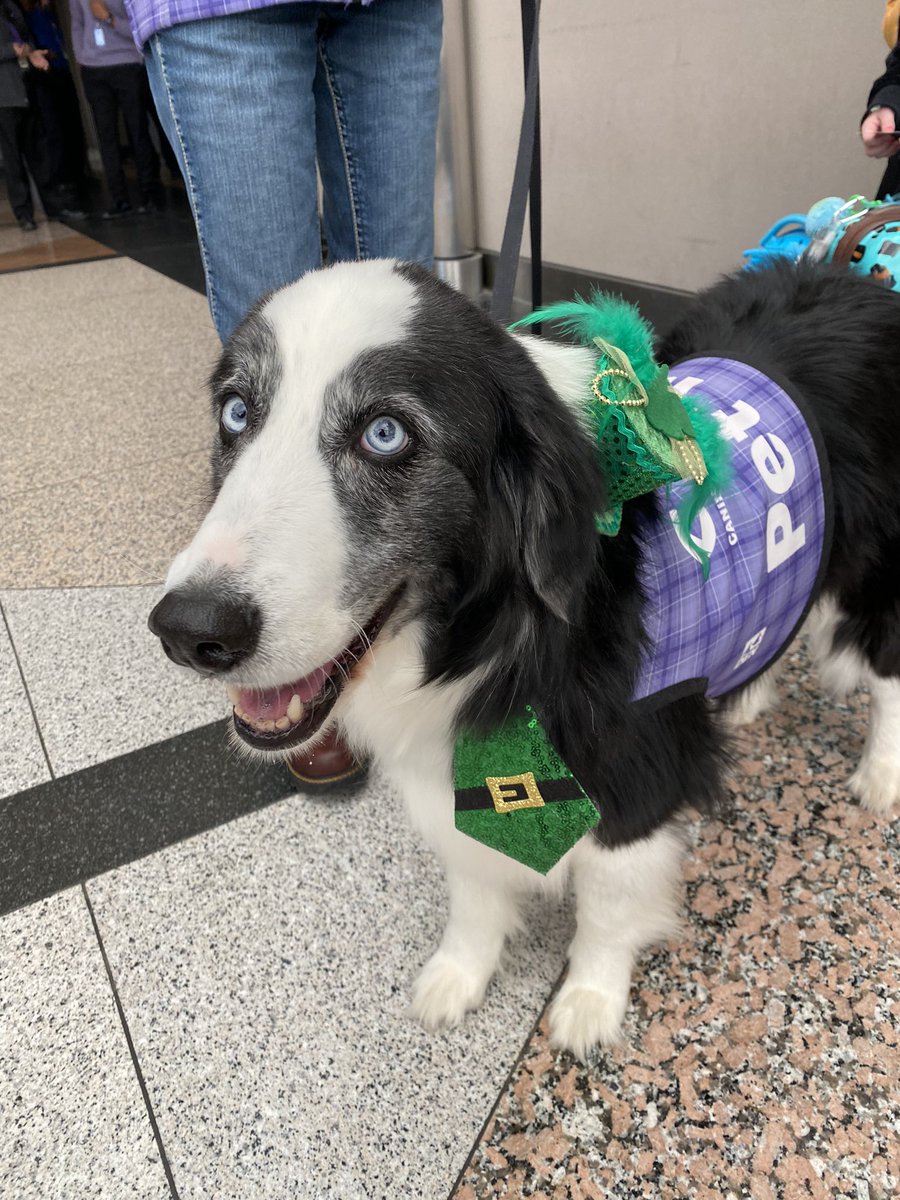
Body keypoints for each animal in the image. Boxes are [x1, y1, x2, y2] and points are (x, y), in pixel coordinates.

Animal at [150, 258, 900, 1056]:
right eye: (236, 413)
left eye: (384, 434)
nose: (189, 630)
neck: (505, 631)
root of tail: (854, 274)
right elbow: (474, 889)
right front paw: (456, 977)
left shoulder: (634, 776)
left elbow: (608, 904)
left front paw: (589, 1004)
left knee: (888, 674)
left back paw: (881, 776)